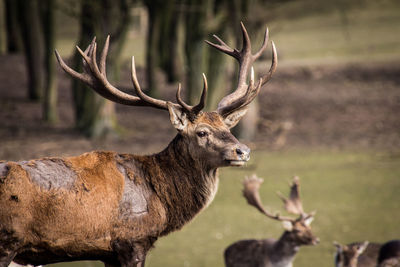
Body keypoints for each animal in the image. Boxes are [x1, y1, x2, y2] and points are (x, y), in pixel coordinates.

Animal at [0, 23, 276, 267]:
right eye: (202, 132)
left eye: (228, 129)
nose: (243, 151)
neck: (162, 202)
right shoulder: (131, 240)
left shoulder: (108, 253)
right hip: (7, 241)